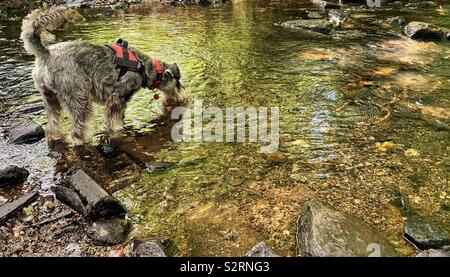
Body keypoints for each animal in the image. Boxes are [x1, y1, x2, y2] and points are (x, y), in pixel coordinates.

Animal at [20, 5, 185, 144]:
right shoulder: (117, 97)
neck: (144, 67)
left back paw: (55, 136)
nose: (183, 99)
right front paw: (118, 131)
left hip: (49, 98)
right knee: (78, 127)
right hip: (78, 97)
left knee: (52, 122)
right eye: (177, 83)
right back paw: (83, 140)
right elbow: (115, 119)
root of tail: (45, 54)